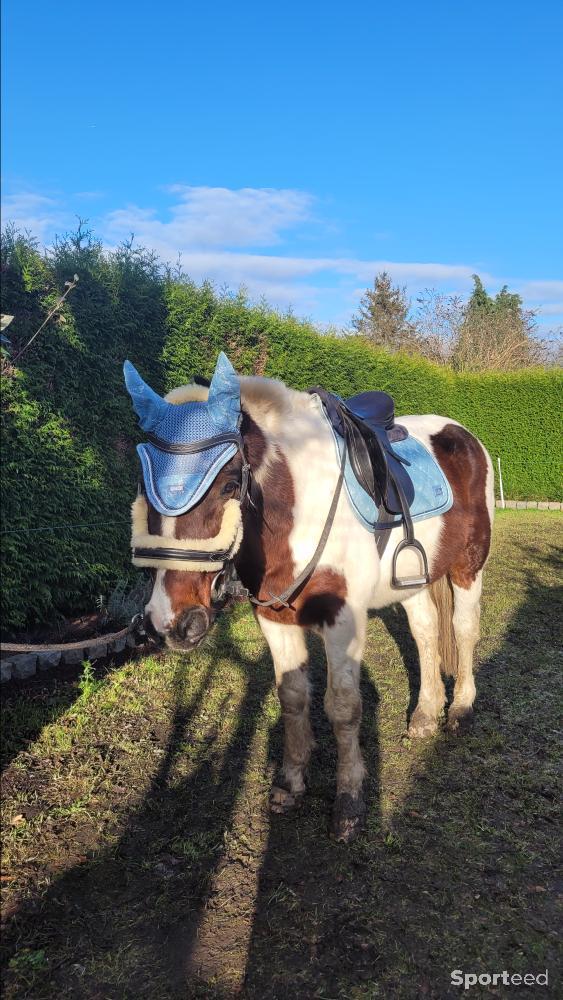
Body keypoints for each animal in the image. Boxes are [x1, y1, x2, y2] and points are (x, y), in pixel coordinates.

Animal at [134, 372, 492, 840]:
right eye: (143, 491)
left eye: (229, 485)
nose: (172, 622)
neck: (297, 509)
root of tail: (463, 434)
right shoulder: (273, 617)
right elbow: (292, 696)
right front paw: (289, 784)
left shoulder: (343, 619)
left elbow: (343, 707)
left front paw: (349, 802)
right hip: (415, 580)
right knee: (427, 633)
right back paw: (425, 715)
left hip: (468, 566)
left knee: (464, 629)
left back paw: (461, 709)